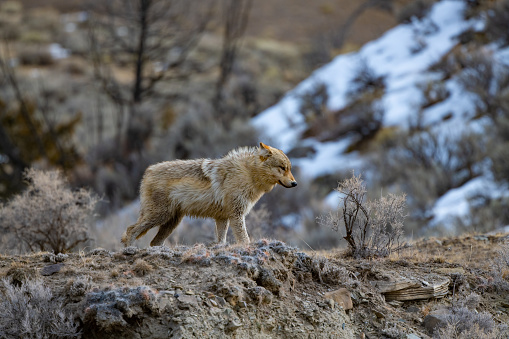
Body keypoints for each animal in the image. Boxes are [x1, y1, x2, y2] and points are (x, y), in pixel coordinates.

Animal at [122, 143, 298, 247]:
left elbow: (221, 241)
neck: (248, 174)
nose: (295, 183)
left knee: (153, 242)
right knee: (131, 231)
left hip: (171, 222)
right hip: (159, 216)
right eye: (282, 168)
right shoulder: (236, 214)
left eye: (289, 168)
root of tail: (148, 170)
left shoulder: (223, 218)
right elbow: (244, 239)